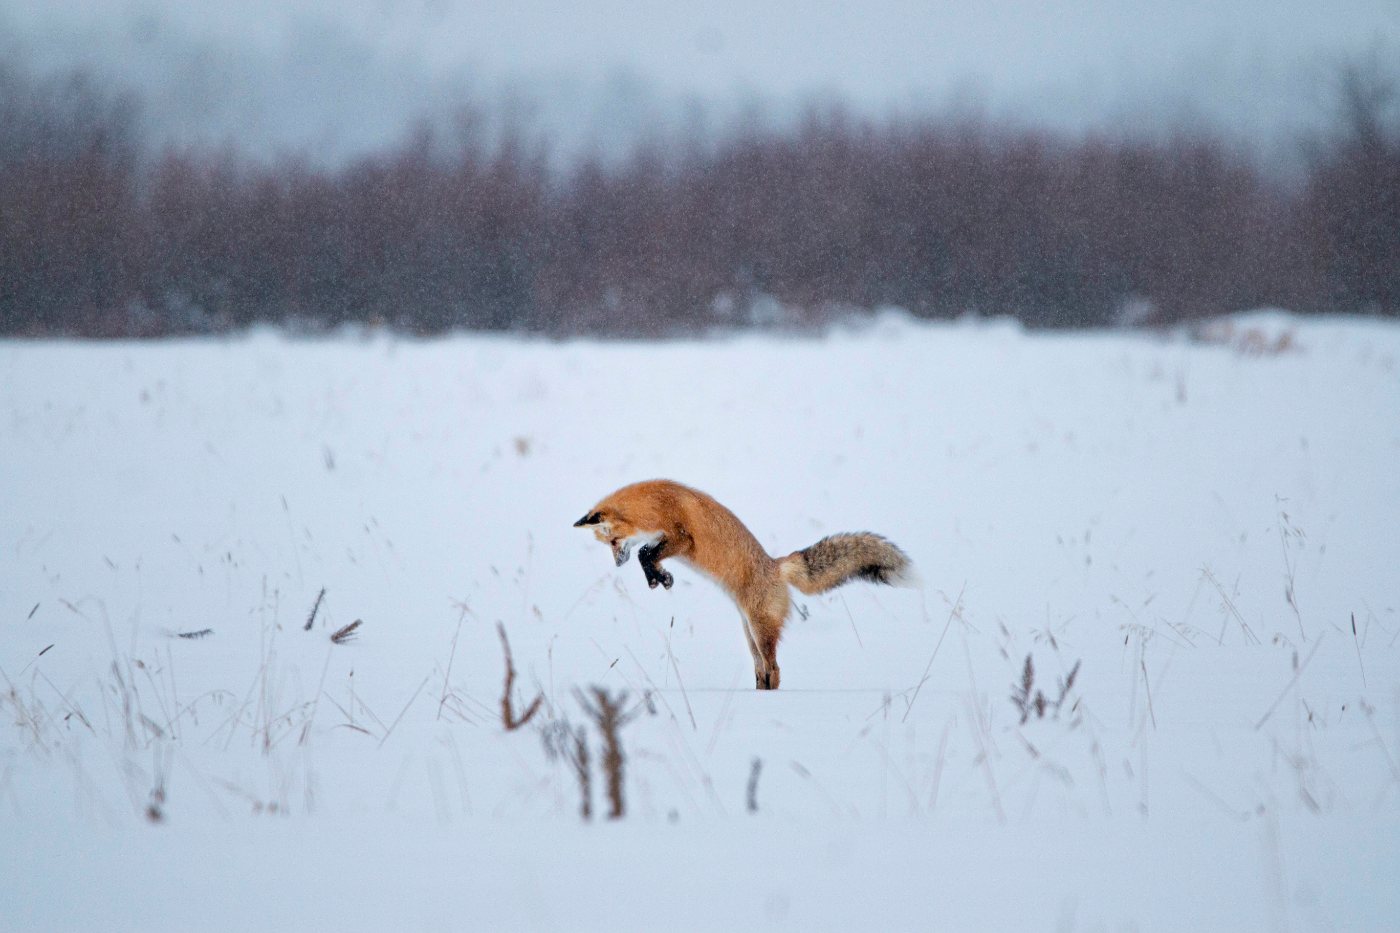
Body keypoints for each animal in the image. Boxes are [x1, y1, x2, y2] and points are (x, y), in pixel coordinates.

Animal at [574, 479, 915, 690]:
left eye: (613, 541)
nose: (617, 564)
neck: (655, 504)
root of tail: (777, 565)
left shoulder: (682, 538)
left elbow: (645, 552)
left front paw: (660, 577)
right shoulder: (664, 540)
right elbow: (647, 556)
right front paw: (659, 578)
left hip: (761, 631)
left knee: (774, 669)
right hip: (750, 636)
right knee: (762, 671)